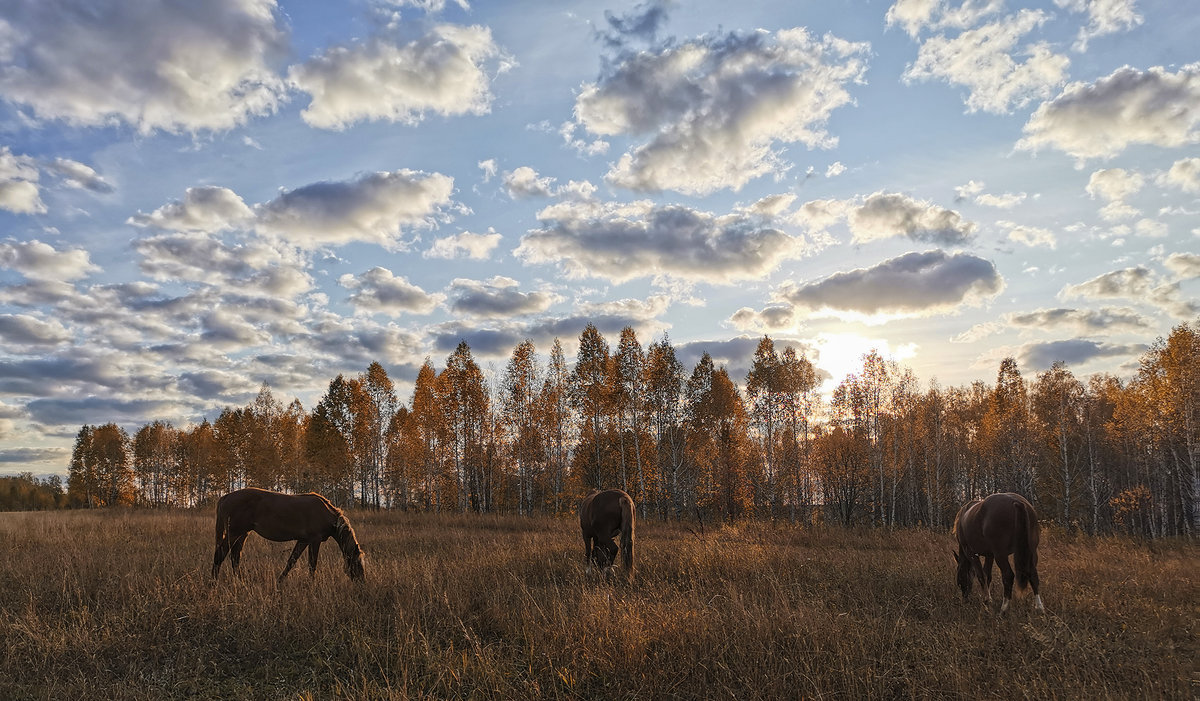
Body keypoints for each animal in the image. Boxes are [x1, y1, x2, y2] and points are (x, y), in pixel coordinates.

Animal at [211, 487, 362, 580]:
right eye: (358, 562)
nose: (361, 582)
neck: (326, 513)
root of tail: (226, 497)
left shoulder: (303, 540)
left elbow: (291, 561)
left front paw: (280, 582)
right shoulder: (315, 540)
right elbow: (312, 565)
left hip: (242, 534)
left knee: (235, 558)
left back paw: (241, 582)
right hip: (233, 533)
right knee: (220, 555)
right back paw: (213, 583)